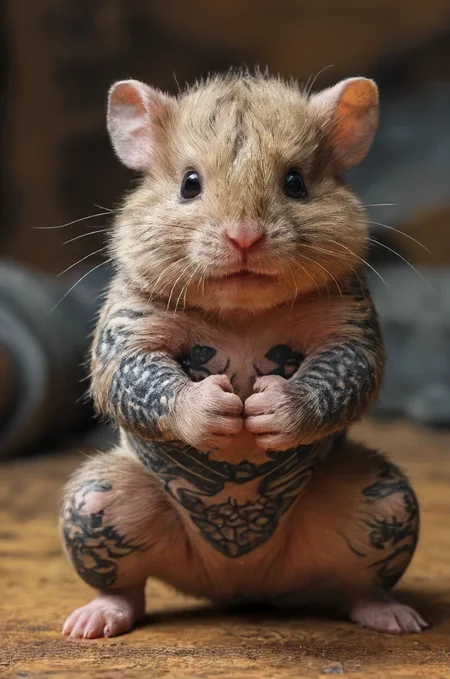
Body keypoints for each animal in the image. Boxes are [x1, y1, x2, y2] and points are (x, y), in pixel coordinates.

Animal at [60, 71, 427, 639]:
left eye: (296, 182)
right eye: (189, 183)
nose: (244, 237)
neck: (240, 313)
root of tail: (243, 587)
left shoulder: (350, 321)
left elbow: (351, 369)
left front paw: (273, 407)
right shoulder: (127, 325)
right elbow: (127, 376)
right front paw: (214, 408)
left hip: (384, 502)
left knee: (362, 581)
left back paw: (391, 614)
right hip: (98, 500)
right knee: (124, 583)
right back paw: (96, 618)